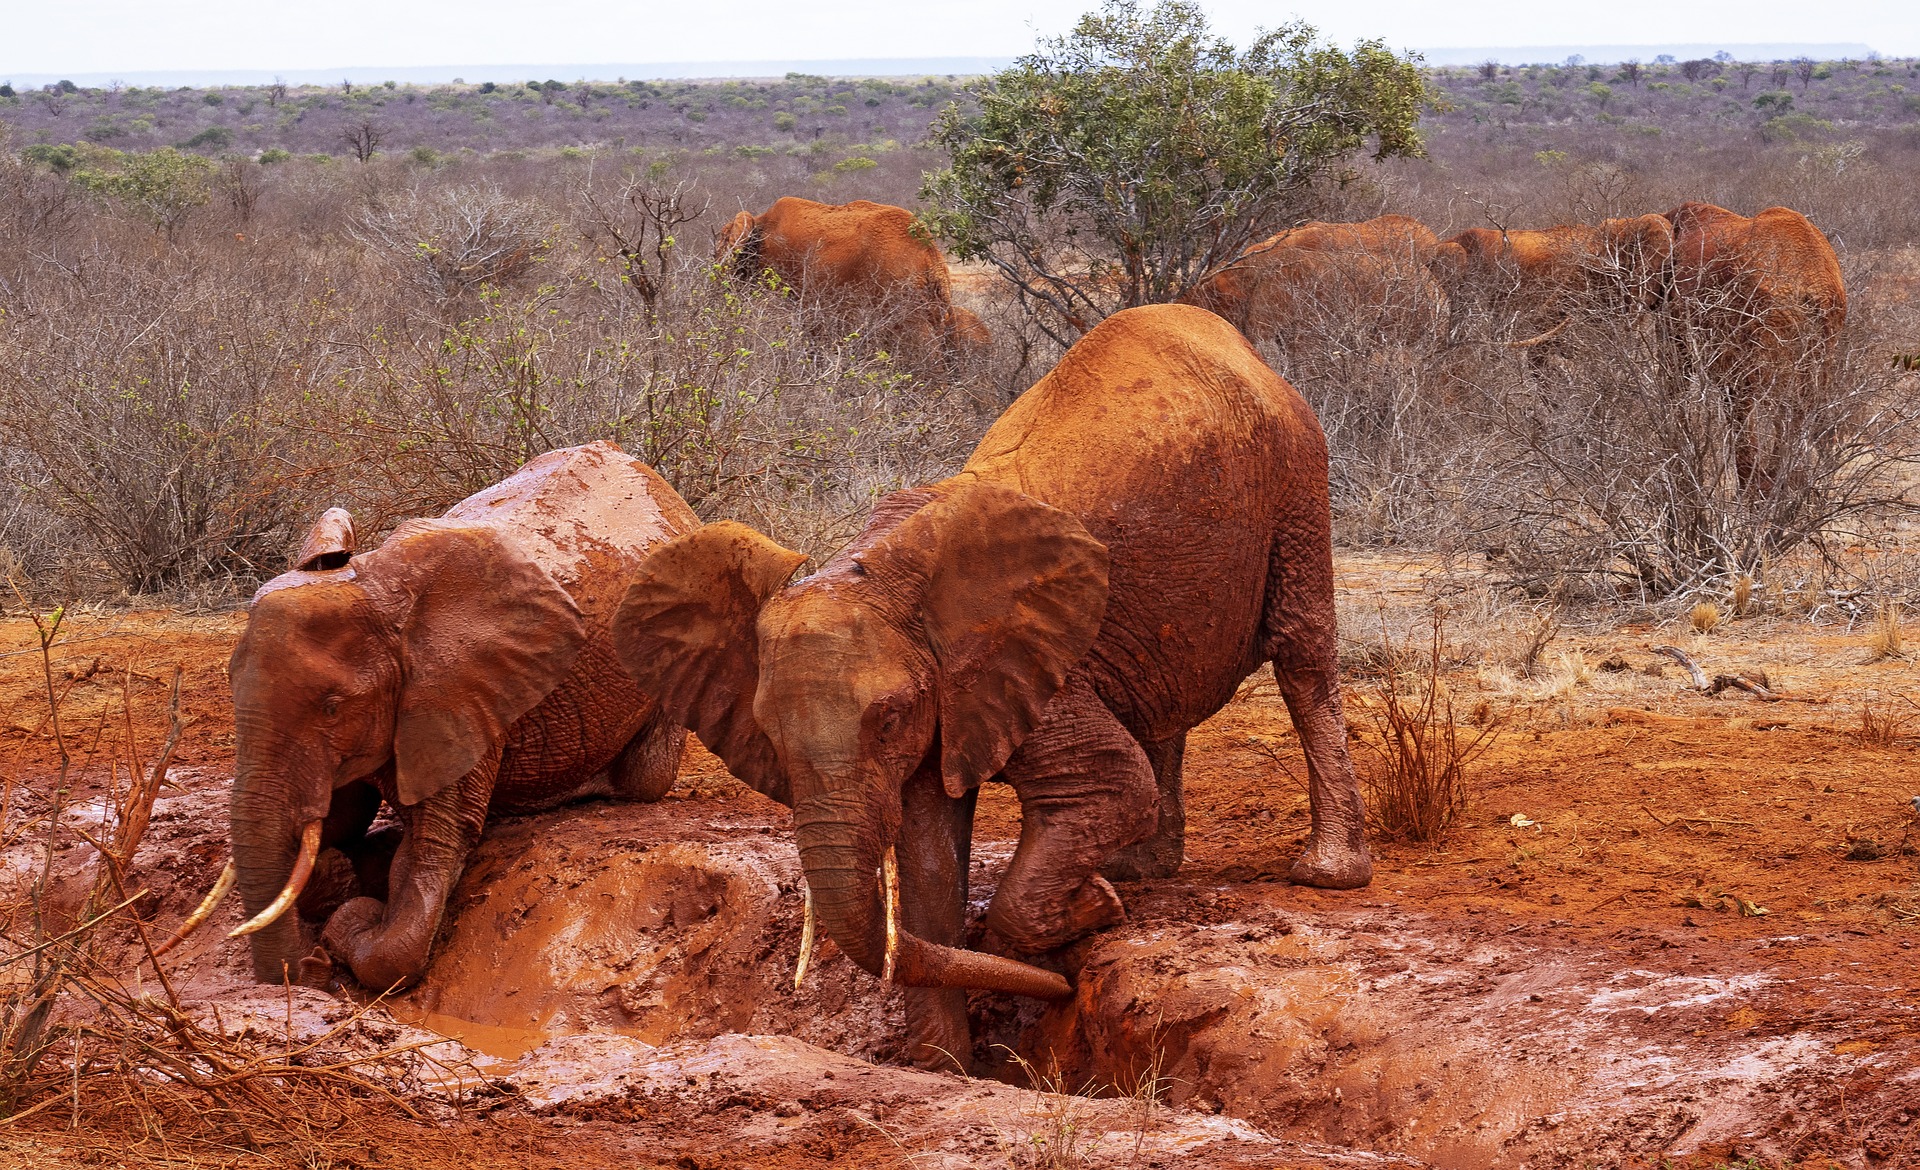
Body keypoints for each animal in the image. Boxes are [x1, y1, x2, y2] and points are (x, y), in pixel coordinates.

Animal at [606, 301, 1374, 1068]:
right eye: (768, 733)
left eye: (888, 719)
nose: (1063, 995)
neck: (883, 571)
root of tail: (1231, 340)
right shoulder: (956, 697)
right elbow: (927, 863)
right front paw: (948, 1066)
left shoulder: (1019, 674)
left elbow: (1110, 787)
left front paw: (1094, 909)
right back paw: (1141, 870)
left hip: (1298, 481)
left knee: (1303, 655)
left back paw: (1324, 873)